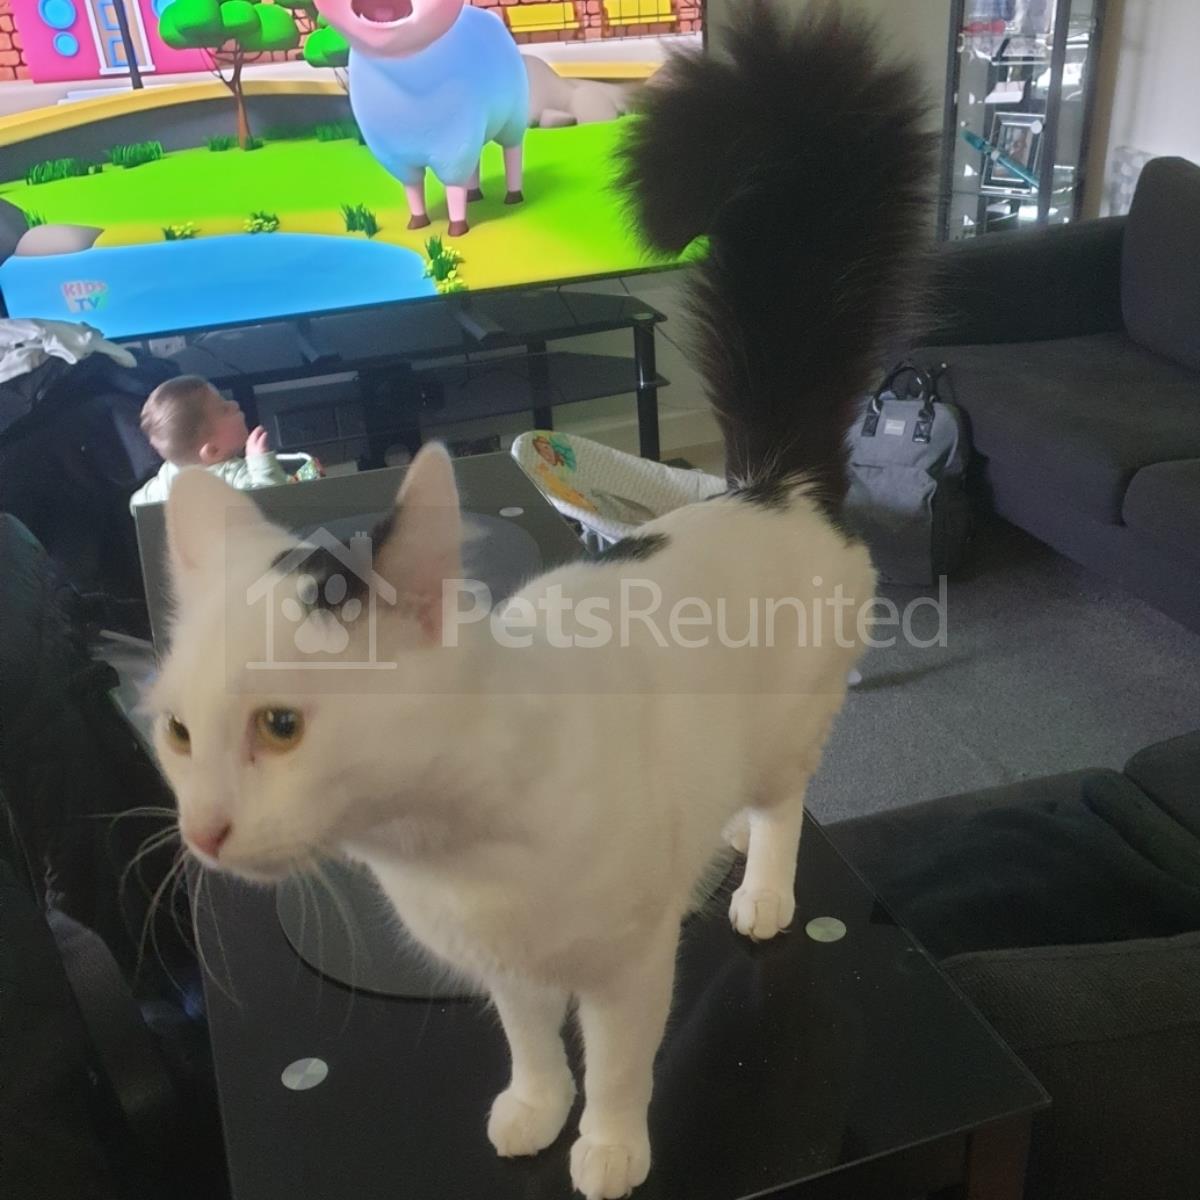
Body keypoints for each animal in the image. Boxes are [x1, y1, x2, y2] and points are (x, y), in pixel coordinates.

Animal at [148, 4, 931, 1198]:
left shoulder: (624, 967)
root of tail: (768, 484)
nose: (204, 830)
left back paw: (758, 889)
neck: (443, 847)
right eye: (179, 734)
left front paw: (606, 1146)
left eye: (281, 726)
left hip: (789, 729)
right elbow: (528, 1042)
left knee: (781, 809)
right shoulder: (504, 971)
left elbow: (614, 1062)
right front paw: (532, 1108)